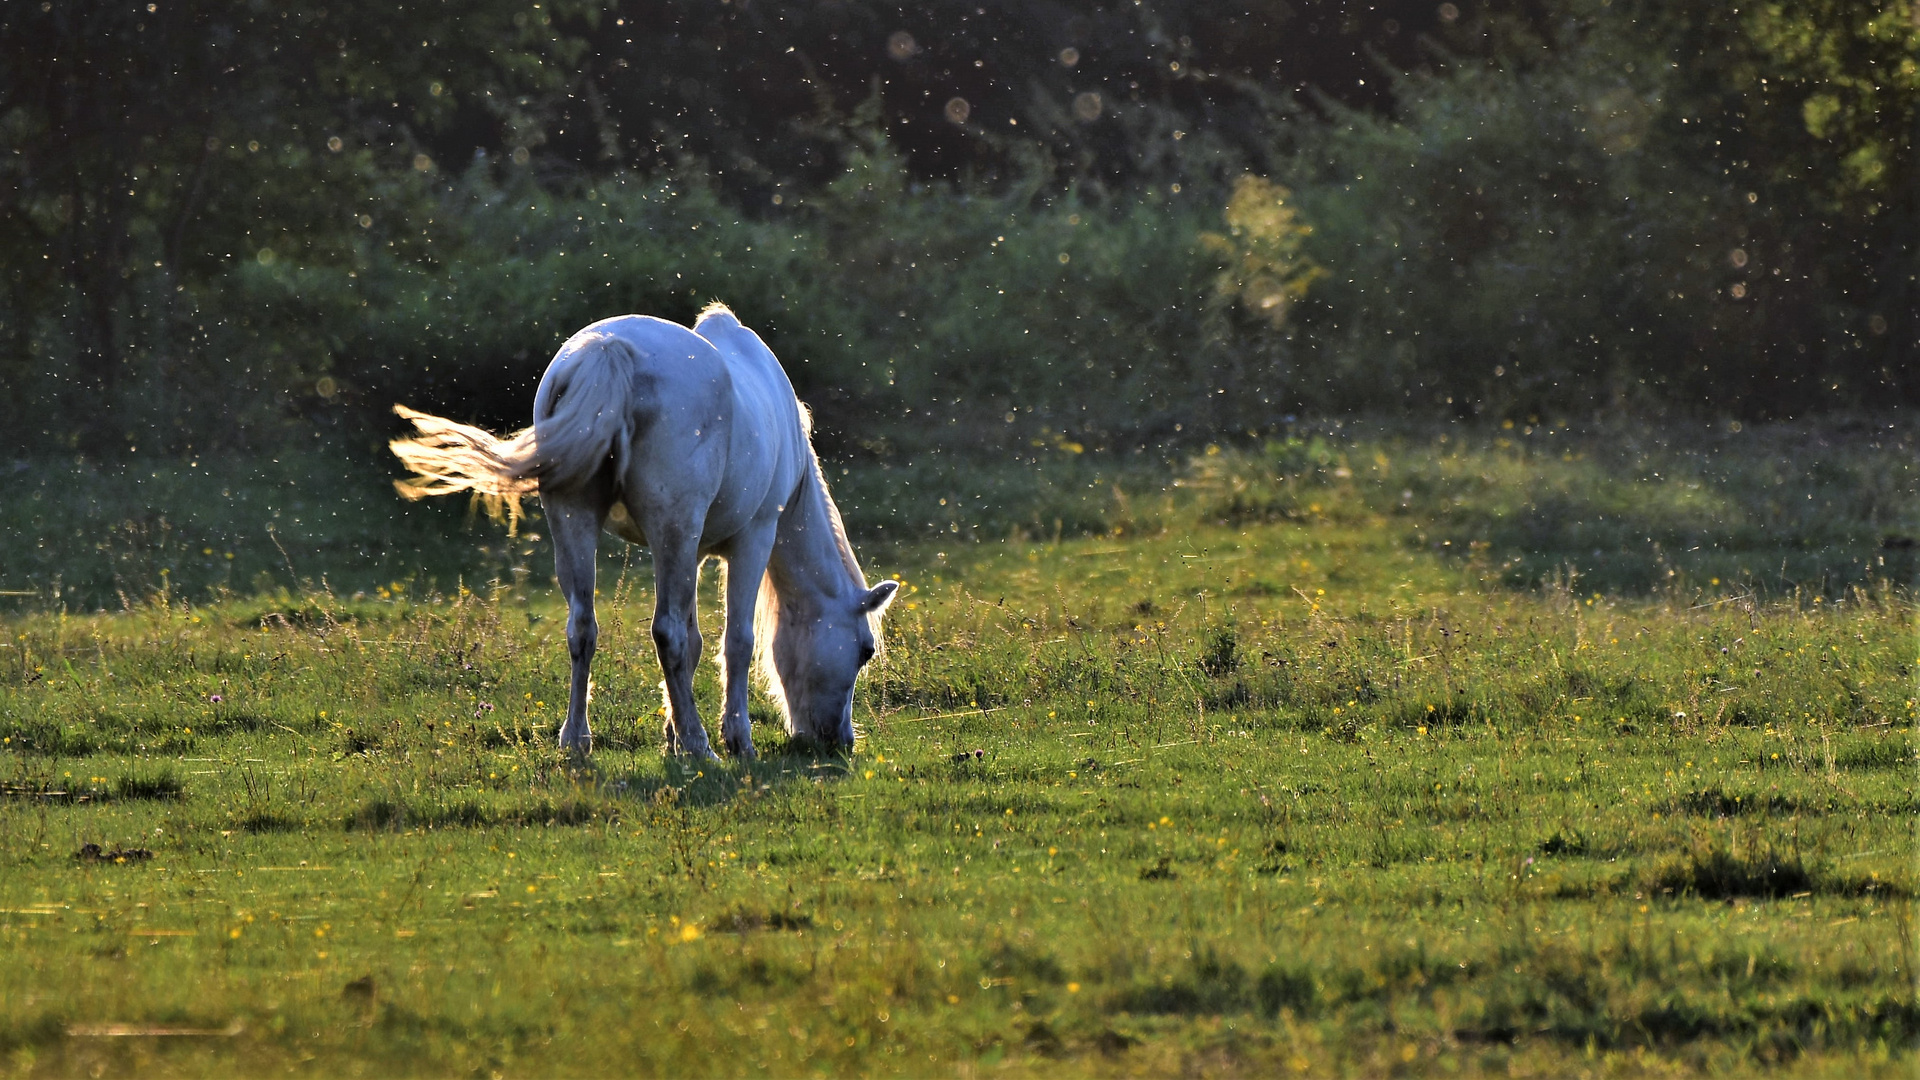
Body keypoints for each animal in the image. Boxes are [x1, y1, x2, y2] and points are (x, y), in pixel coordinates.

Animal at [393, 299, 902, 757]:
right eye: (865, 651)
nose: (839, 741)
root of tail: (608, 349)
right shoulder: (752, 538)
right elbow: (733, 642)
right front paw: (731, 739)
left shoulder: (694, 551)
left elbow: (695, 644)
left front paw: (672, 735)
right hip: (671, 531)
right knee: (666, 633)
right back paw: (701, 747)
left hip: (578, 521)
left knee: (584, 627)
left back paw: (577, 741)